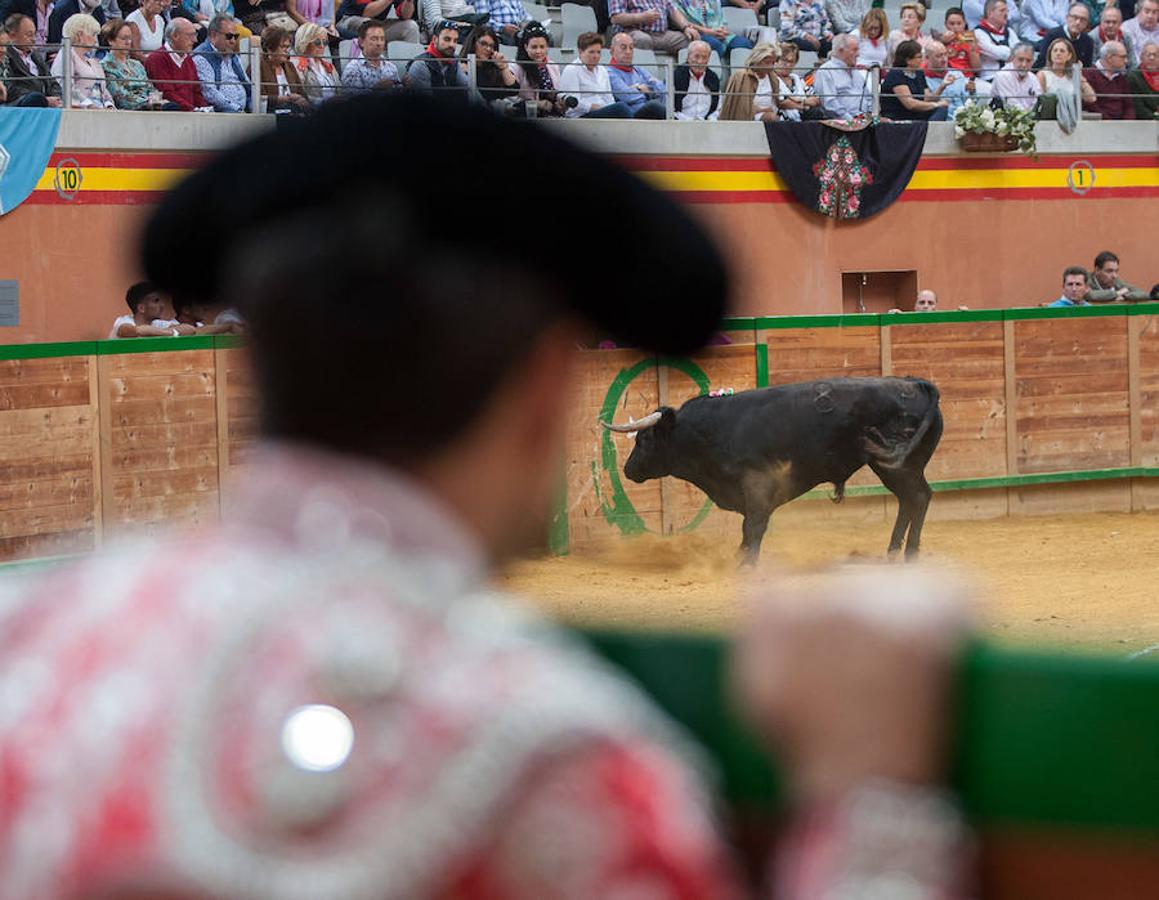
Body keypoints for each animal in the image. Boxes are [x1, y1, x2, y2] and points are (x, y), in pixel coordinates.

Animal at [602, 377, 945, 560]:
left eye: (644, 439)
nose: (628, 470)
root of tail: (916, 383)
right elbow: (748, 527)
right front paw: (741, 556)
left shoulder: (757, 484)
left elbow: (753, 525)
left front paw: (746, 563)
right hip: (892, 465)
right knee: (910, 499)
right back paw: (894, 551)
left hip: (898, 466)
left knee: (917, 497)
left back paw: (909, 553)